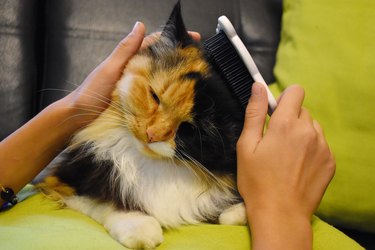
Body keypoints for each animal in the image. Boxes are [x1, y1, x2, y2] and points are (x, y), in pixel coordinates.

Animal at [38, 1, 248, 248]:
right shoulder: (61, 181)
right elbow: (106, 202)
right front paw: (140, 229)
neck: (152, 166)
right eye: (155, 97)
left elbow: (224, 212)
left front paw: (238, 211)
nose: (151, 134)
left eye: (190, 129)